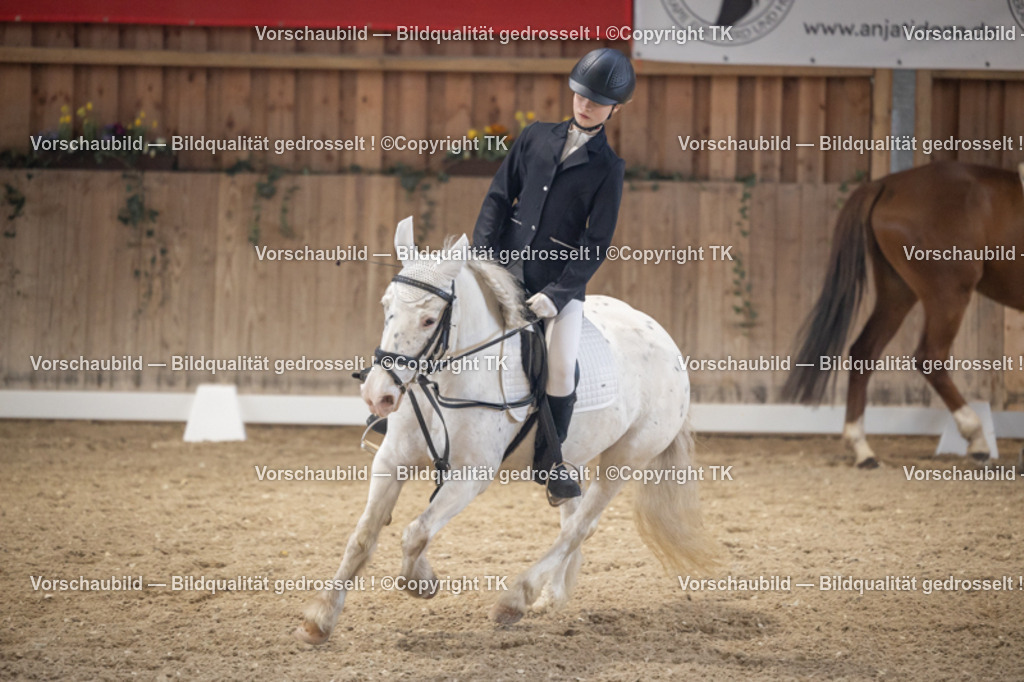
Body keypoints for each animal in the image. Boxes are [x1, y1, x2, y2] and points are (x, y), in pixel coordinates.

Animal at [293, 217, 717, 644]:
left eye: (429, 320)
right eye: (386, 308)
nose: (377, 395)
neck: (450, 379)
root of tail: (665, 339)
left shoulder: (470, 476)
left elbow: (416, 533)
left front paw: (421, 581)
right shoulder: (391, 459)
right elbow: (363, 537)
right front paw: (320, 618)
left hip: (625, 458)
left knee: (581, 527)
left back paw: (516, 599)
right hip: (571, 458)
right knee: (572, 517)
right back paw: (550, 595)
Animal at [783, 161, 1024, 468]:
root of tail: (887, 183)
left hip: (897, 292)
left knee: (864, 351)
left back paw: (862, 449)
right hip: (948, 291)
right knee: (929, 357)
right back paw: (977, 439)